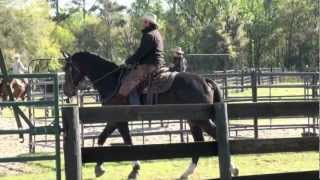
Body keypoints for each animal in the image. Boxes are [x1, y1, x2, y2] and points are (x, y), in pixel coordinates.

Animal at [62, 51, 236, 179]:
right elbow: (101, 138)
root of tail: (205, 80)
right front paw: (99, 167)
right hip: (193, 120)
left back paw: (232, 168)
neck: (113, 81)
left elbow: (128, 142)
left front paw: (135, 170)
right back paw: (186, 173)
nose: (66, 91)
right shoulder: (112, 120)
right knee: (199, 142)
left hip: (201, 119)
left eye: (67, 69)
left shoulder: (119, 120)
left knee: (215, 134)